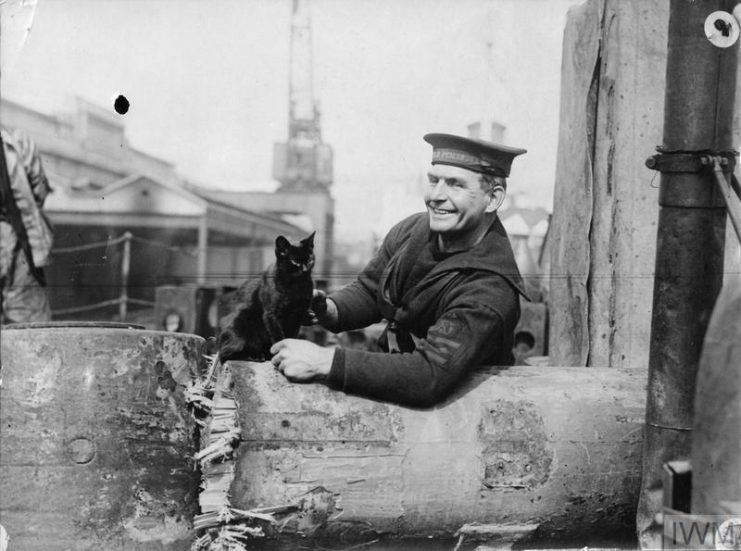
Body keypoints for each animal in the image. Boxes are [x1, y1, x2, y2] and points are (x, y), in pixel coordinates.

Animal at [217, 232, 316, 362]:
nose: (305, 269)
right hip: (240, 320)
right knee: (226, 353)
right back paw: (255, 356)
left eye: (309, 259)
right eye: (295, 261)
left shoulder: (298, 315)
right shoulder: (272, 314)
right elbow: (279, 338)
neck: (296, 286)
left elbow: (291, 336)